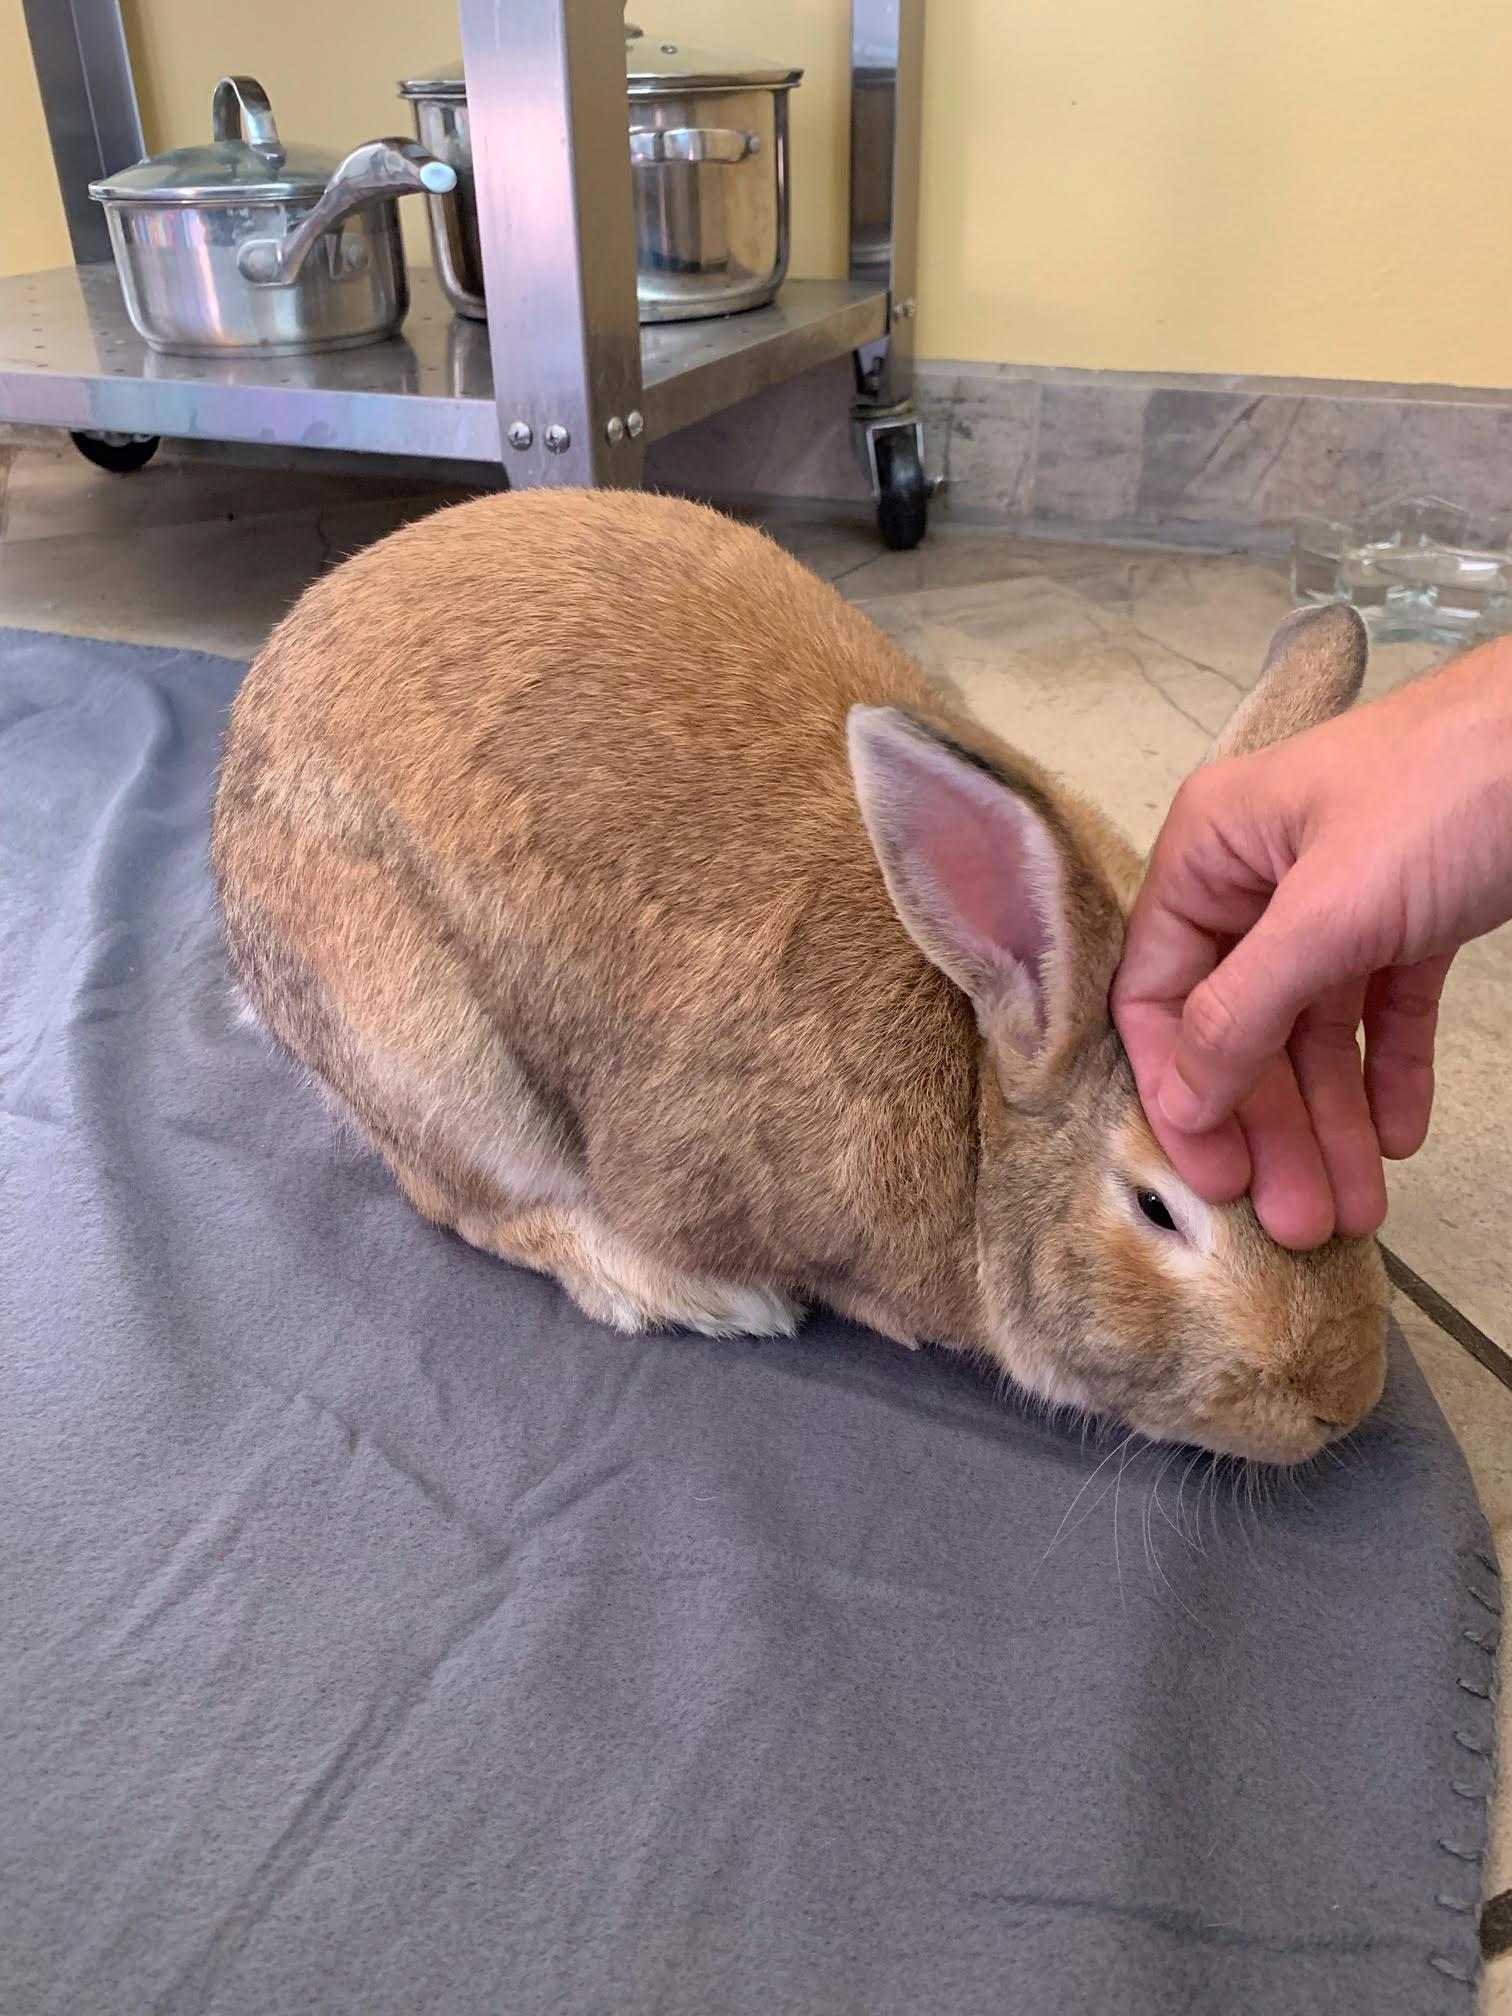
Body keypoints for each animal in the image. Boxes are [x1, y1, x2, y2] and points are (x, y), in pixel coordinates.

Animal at [212, 488, 1388, 1465]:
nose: (1346, 1401)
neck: (974, 1096)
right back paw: (692, 1296)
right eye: (1156, 1207)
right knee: (463, 1205)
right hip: (432, 1056)